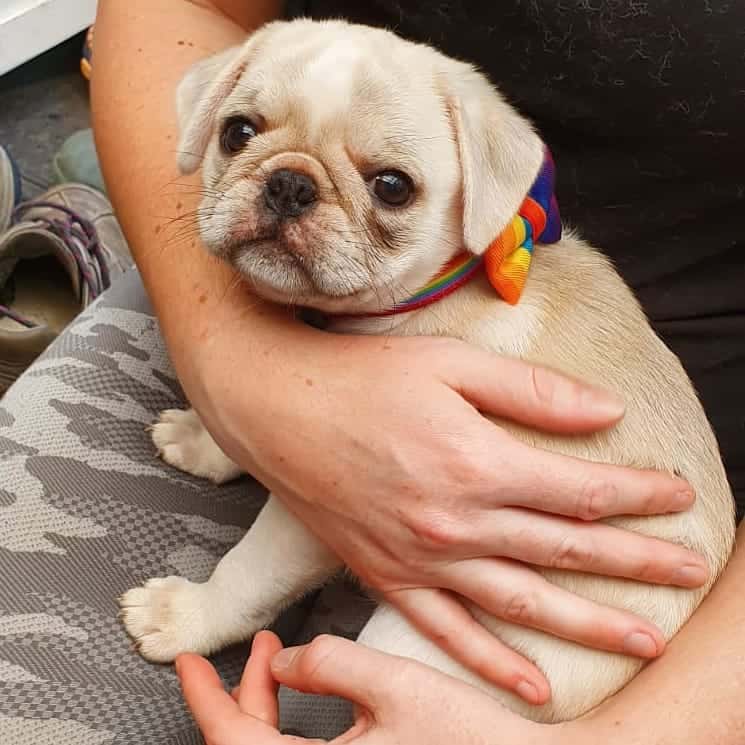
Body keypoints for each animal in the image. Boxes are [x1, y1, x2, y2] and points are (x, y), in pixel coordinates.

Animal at [120, 20, 732, 724]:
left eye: (392, 187)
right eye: (237, 132)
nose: (290, 184)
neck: (430, 290)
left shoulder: (320, 514)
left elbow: (248, 574)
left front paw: (185, 616)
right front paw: (201, 440)